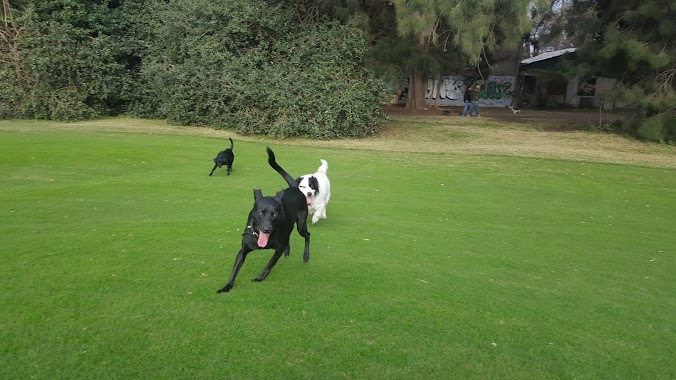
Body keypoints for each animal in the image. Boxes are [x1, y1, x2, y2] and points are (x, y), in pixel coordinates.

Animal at [217, 147, 312, 292]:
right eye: (261, 212)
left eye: (275, 214)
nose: (267, 229)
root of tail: (294, 188)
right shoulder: (243, 250)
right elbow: (235, 270)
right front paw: (227, 286)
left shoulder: (278, 249)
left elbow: (269, 264)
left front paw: (260, 277)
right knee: (289, 237)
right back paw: (288, 251)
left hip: (301, 225)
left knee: (307, 235)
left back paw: (306, 256)